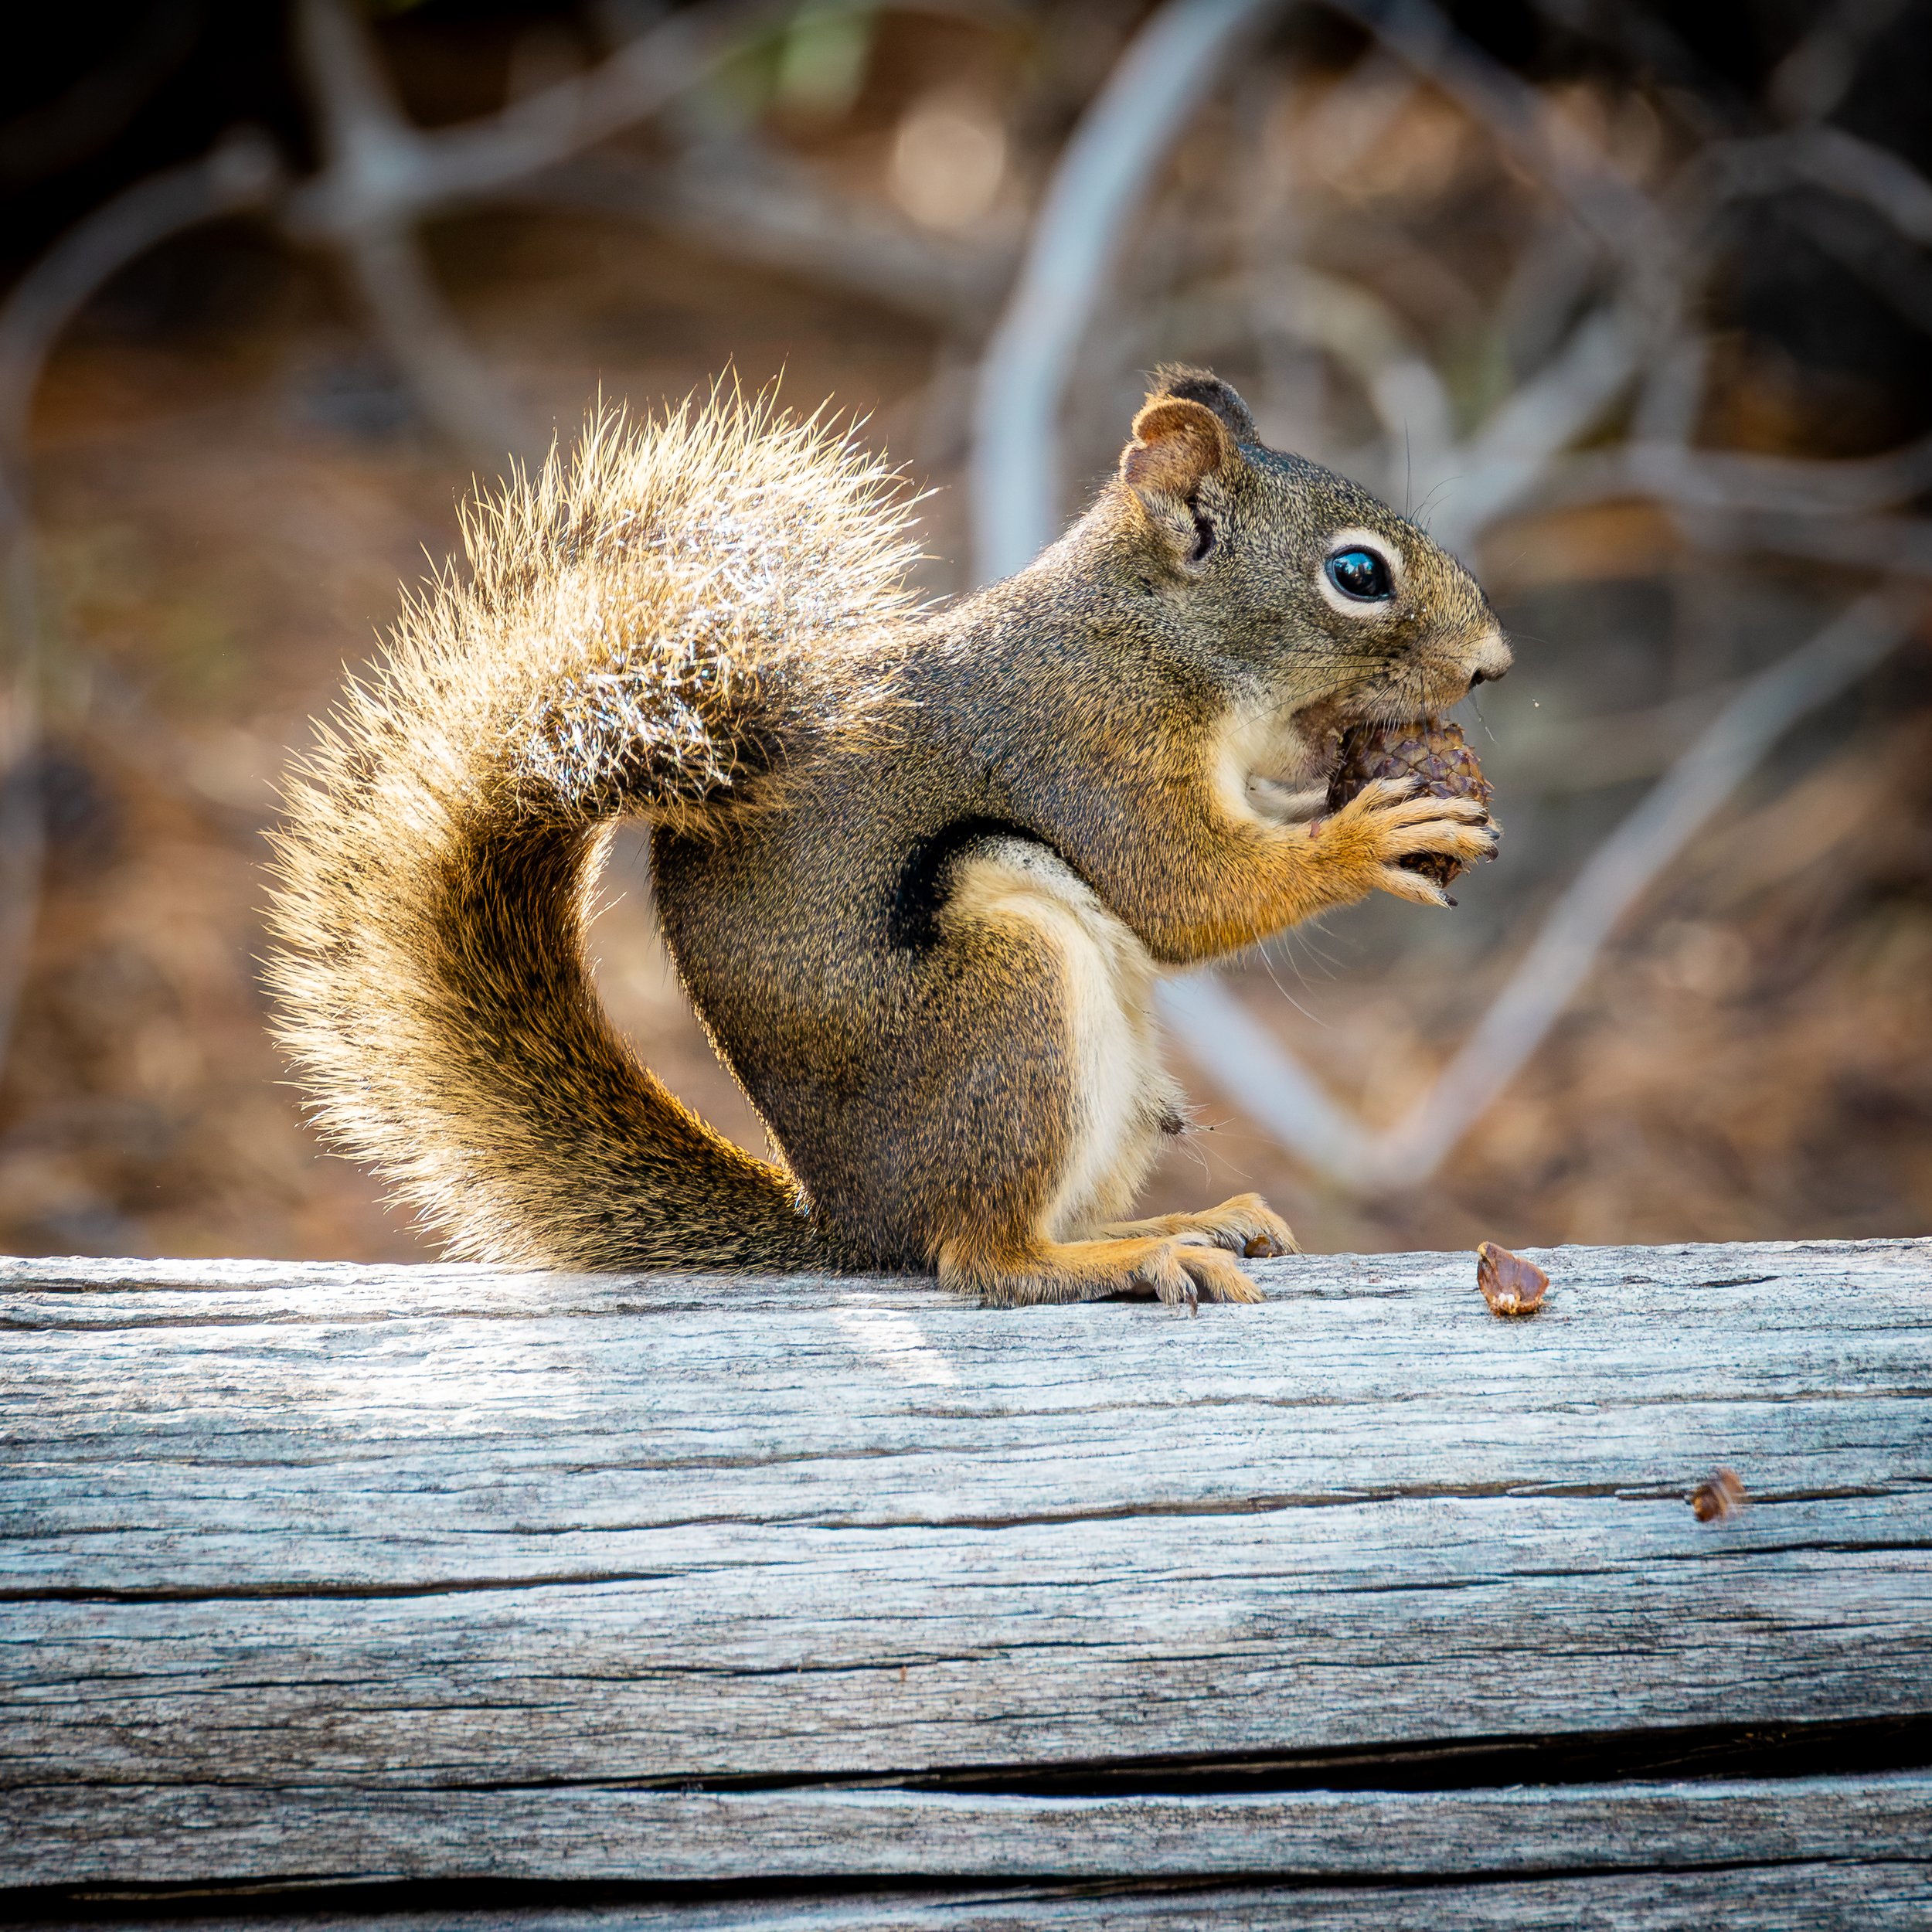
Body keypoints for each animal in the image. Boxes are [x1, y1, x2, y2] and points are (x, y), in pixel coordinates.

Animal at [267, 367, 1508, 1307]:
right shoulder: (1090, 742)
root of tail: (851, 1221)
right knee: (983, 1256)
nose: (1493, 664)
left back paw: (1196, 1217)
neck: (1155, 635)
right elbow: (1182, 895)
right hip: (1004, 990)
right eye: (1357, 573)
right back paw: (1135, 1254)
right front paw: (1373, 835)